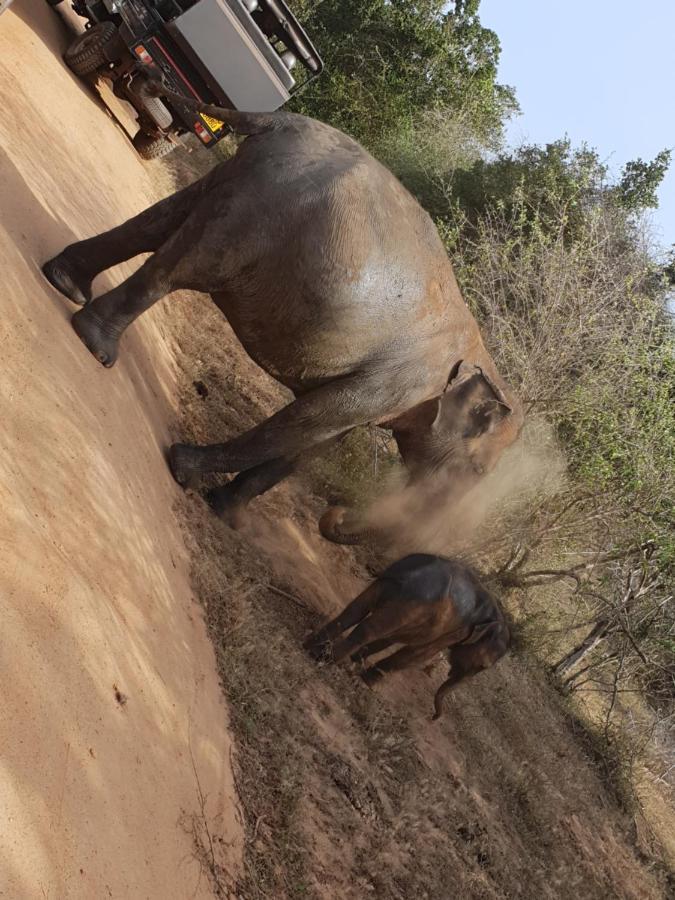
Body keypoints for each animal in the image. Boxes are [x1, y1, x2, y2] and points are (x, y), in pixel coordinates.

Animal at [42, 84, 524, 540]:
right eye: (477, 471)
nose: (334, 516)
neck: (483, 357)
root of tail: (280, 122)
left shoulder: (384, 394)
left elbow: (312, 445)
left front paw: (227, 515)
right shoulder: (398, 383)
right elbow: (309, 422)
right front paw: (183, 471)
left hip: (243, 185)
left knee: (157, 222)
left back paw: (65, 282)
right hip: (263, 211)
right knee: (183, 267)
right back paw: (98, 346)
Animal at [304, 552, 510, 720]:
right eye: (483, 667)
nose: (432, 718)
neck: (494, 612)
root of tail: (416, 570)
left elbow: (390, 639)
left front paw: (355, 664)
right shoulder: (455, 631)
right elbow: (418, 653)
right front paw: (367, 683)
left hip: (388, 585)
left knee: (355, 611)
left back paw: (313, 648)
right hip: (411, 604)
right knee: (370, 629)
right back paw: (327, 660)